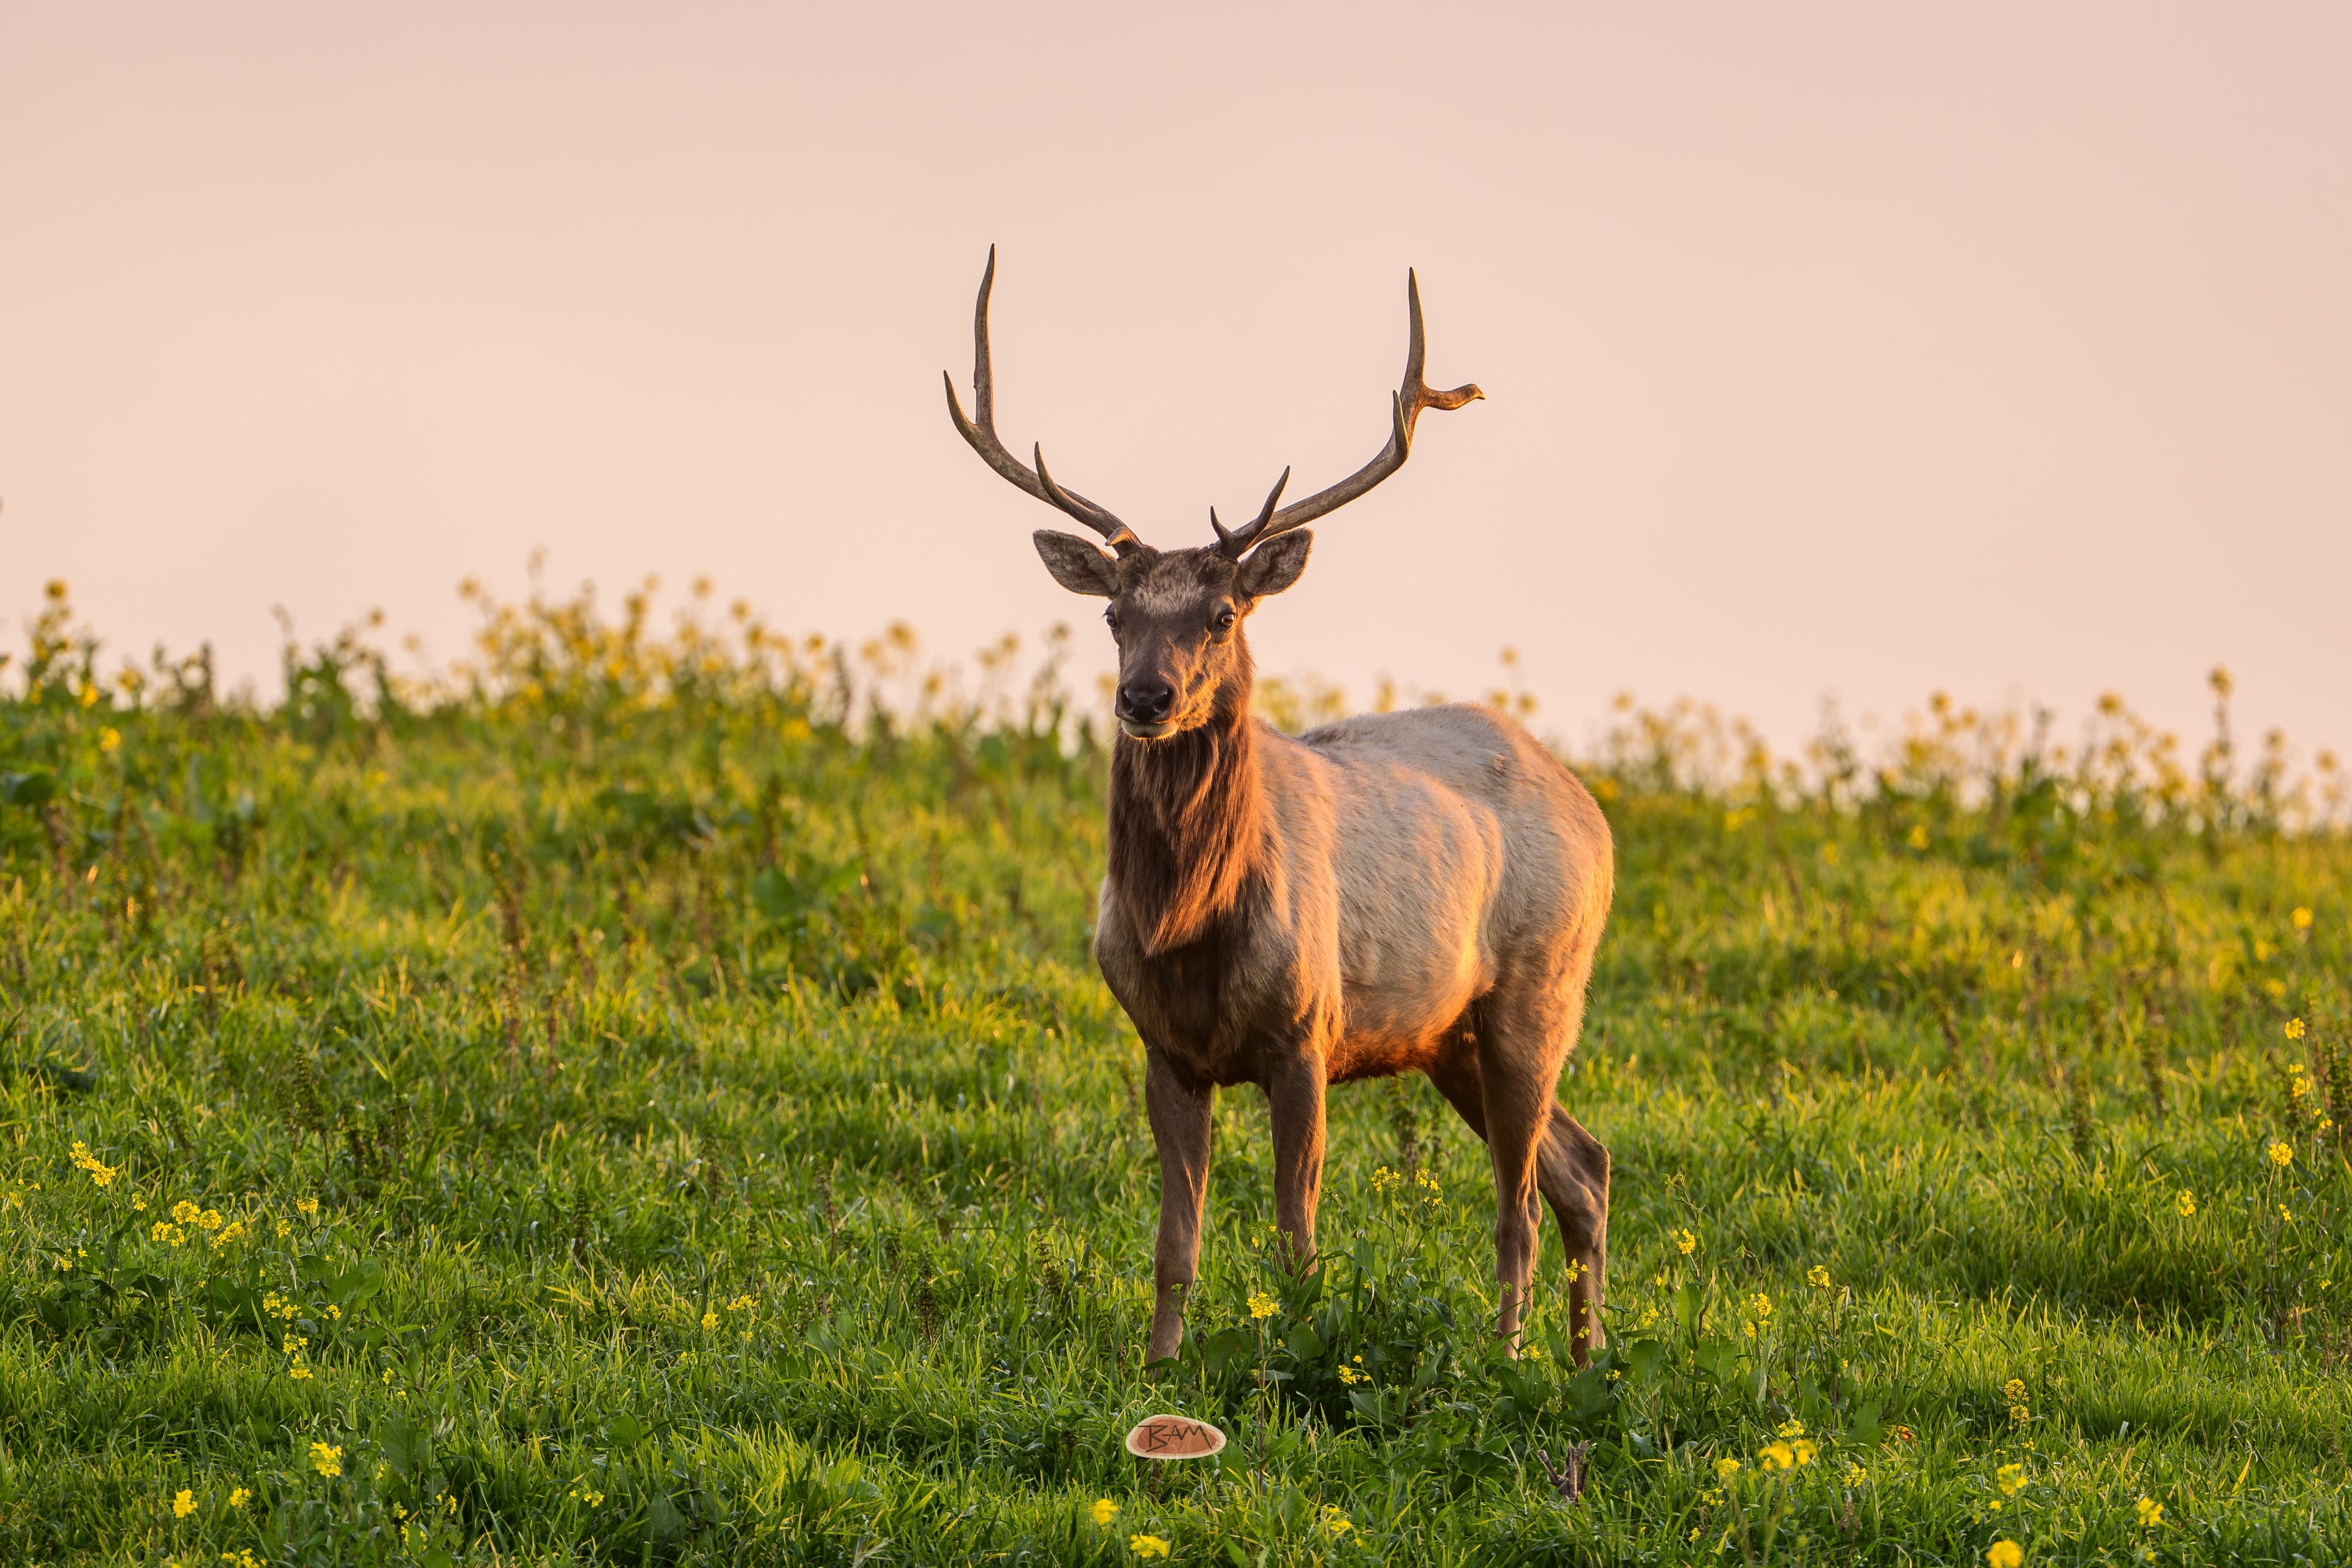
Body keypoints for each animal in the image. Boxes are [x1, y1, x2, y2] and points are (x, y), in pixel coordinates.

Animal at [943, 251, 1616, 1365]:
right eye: (1113, 613)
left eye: (1222, 614)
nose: (1145, 698)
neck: (1189, 930)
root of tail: (1594, 813)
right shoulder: (1164, 1048)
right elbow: (1176, 1238)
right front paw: (1159, 1367)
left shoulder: (1307, 1031)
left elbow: (1296, 1235)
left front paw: (1298, 1355)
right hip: (1452, 1036)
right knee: (1584, 1166)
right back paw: (1585, 1356)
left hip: (1540, 984)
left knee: (1520, 1198)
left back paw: (1513, 1357)